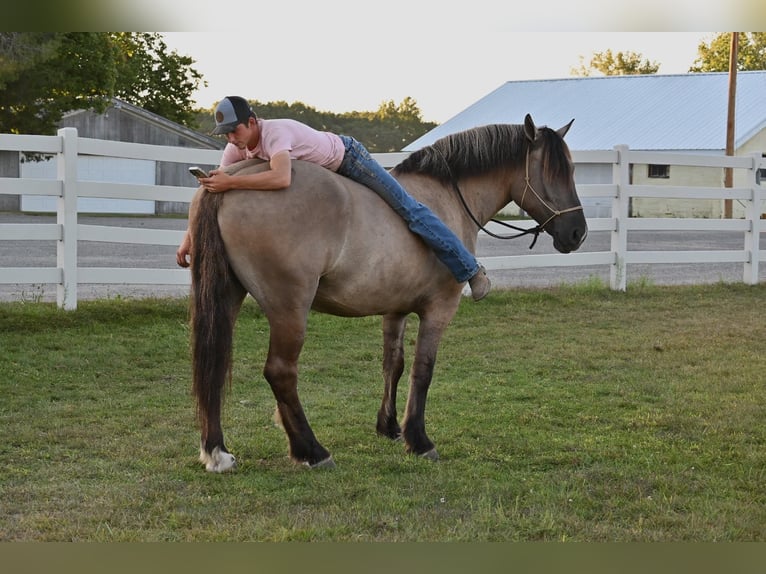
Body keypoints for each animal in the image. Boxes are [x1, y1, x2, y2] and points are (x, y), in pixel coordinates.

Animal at [190, 113, 588, 472]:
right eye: (555, 171)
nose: (577, 233)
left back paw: (218, 451)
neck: (447, 196)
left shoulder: (395, 310)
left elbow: (393, 365)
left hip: (229, 297)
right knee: (280, 373)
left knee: (215, 363)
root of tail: (225, 182)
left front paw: (390, 426)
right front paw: (420, 440)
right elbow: (423, 370)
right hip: (290, 308)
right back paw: (312, 451)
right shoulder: (439, 309)